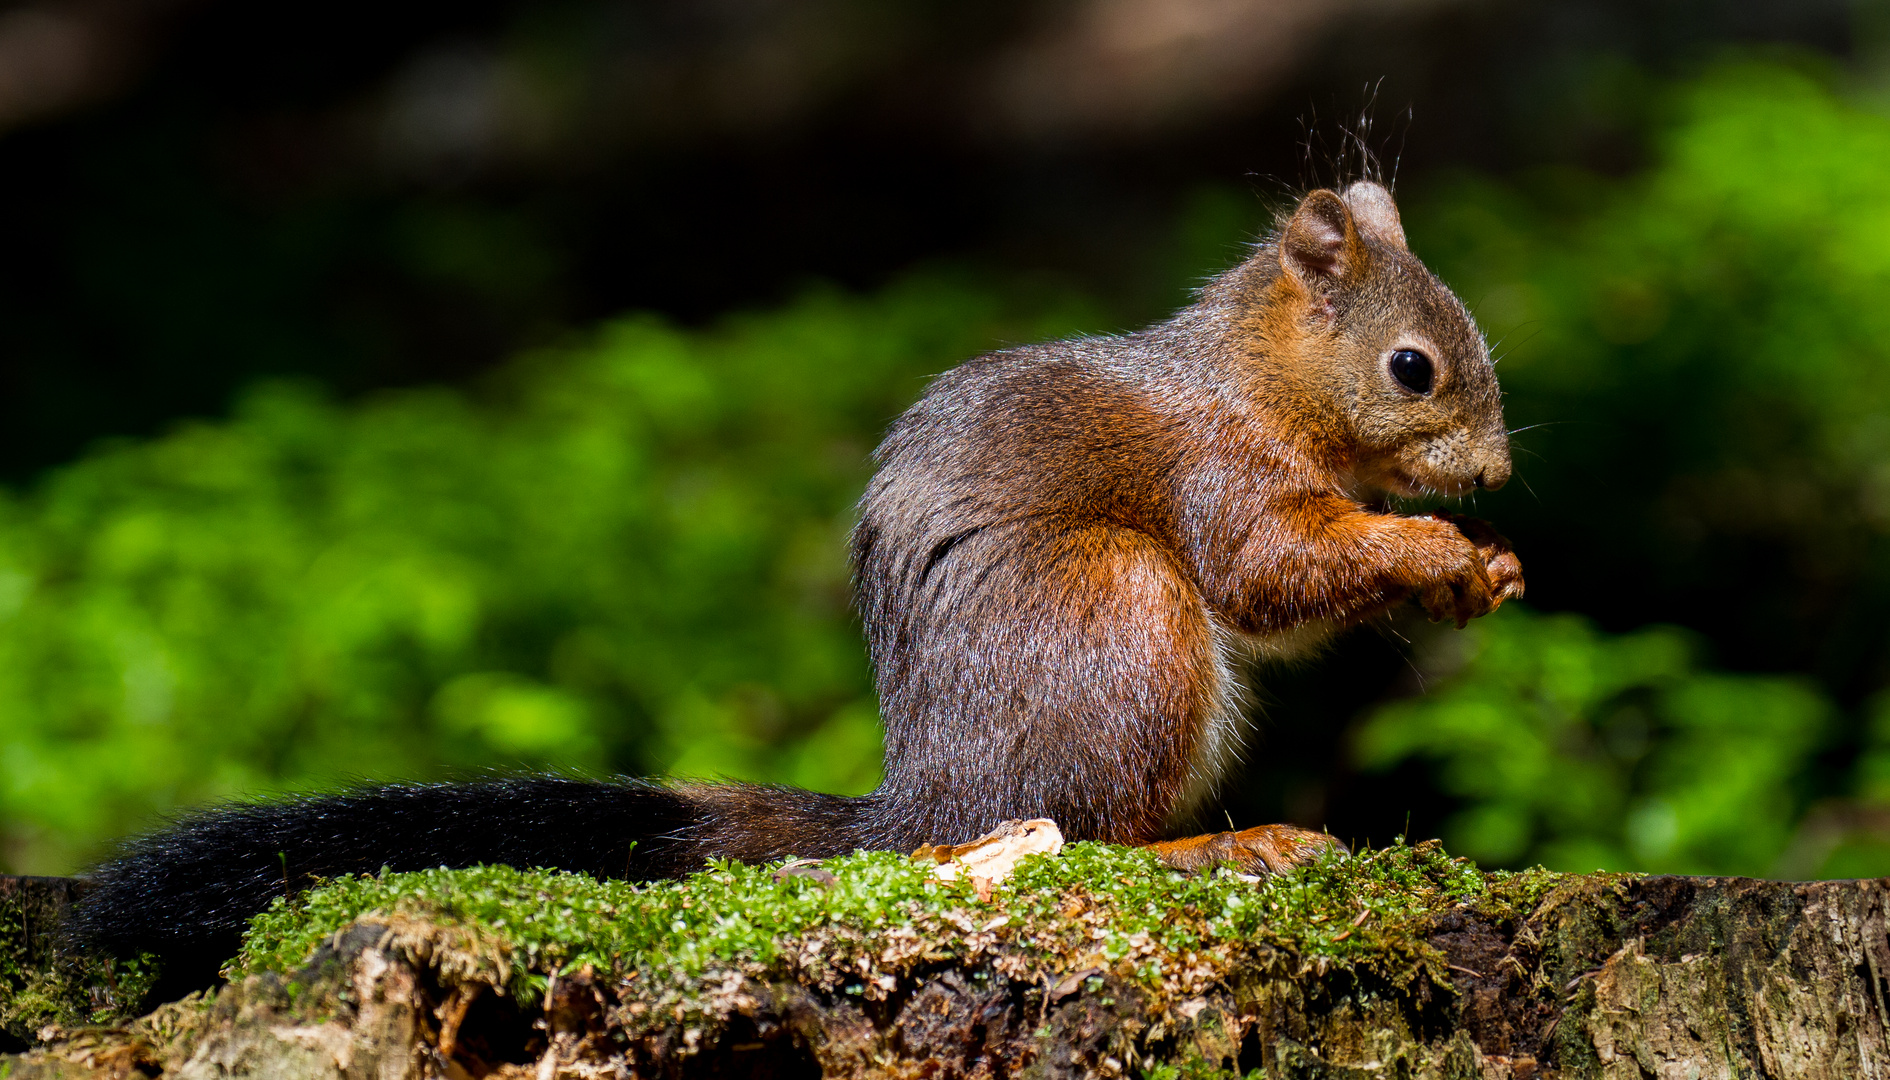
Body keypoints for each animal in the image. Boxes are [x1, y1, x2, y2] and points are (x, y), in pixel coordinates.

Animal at [69, 179, 1519, 998]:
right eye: (1412, 367)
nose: (1497, 472)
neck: (1251, 379)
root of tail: (930, 795)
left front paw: (1484, 571)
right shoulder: (1217, 471)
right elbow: (1271, 573)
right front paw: (1435, 553)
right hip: (1119, 620)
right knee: (1075, 834)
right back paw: (1225, 843)